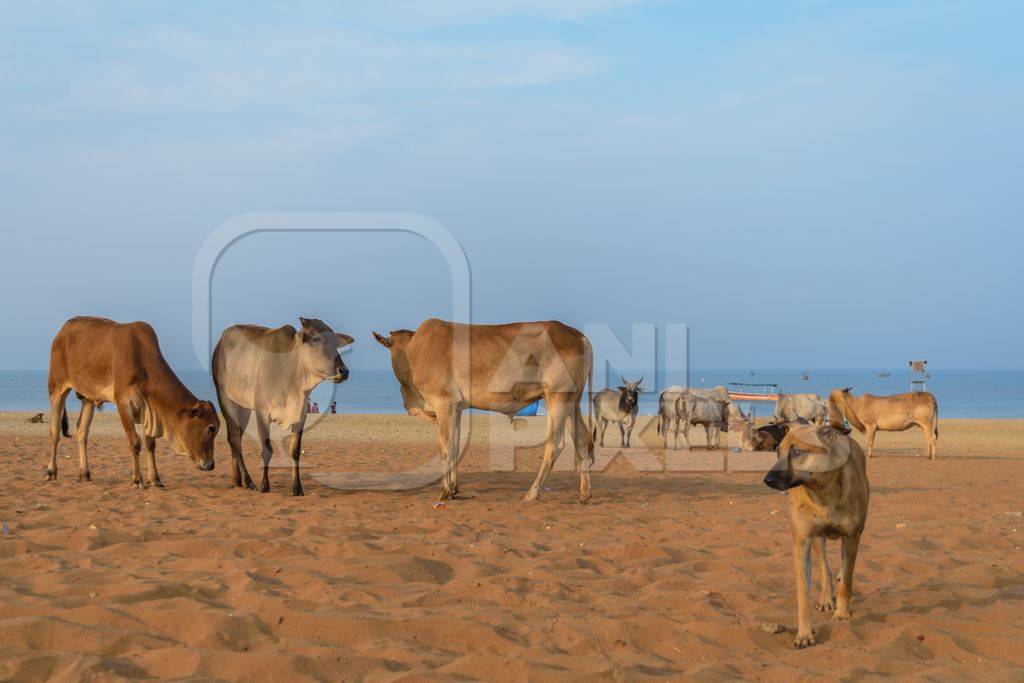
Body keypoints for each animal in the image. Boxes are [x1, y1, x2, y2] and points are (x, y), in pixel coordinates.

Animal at [47, 317, 219, 485]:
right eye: (211, 428)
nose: (211, 465)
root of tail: (62, 331)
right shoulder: (124, 403)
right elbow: (135, 442)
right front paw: (137, 479)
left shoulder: (149, 410)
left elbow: (150, 444)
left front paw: (155, 478)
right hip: (56, 388)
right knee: (55, 431)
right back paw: (51, 471)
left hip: (88, 397)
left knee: (82, 431)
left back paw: (85, 473)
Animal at [209, 317, 354, 493]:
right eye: (316, 339)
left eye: (335, 343)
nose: (343, 371)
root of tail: (222, 341)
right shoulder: (262, 413)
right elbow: (267, 450)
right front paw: (264, 485)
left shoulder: (301, 415)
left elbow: (295, 451)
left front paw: (297, 488)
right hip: (225, 398)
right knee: (235, 439)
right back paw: (247, 480)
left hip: (243, 408)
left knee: (236, 436)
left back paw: (237, 480)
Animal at [374, 319, 598, 501]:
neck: (415, 351)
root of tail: (579, 336)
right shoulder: (456, 409)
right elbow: (455, 447)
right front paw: (454, 490)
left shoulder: (443, 403)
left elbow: (445, 447)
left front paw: (444, 492)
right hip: (572, 403)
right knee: (581, 441)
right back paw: (585, 494)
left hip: (557, 399)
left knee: (555, 446)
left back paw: (532, 493)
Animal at [765, 423, 868, 651]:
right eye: (777, 451)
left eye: (796, 452)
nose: (767, 480)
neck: (822, 491)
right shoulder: (802, 543)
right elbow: (804, 594)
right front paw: (804, 633)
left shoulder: (852, 538)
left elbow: (846, 581)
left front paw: (841, 613)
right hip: (817, 541)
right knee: (824, 567)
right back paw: (826, 597)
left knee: (842, 569)